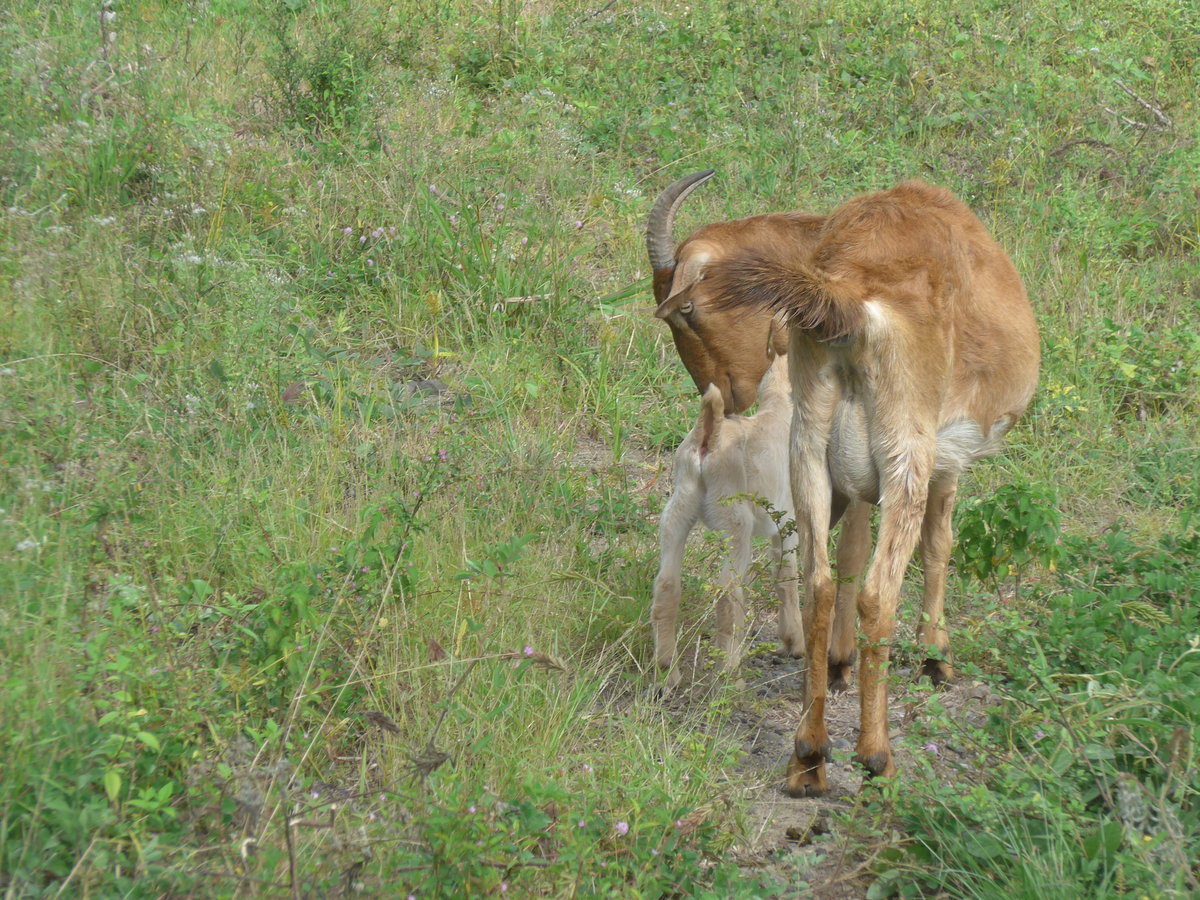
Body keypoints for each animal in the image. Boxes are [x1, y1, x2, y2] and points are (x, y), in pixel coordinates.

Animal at [651, 355, 802, 686]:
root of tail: (710, 435)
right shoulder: (789, 524)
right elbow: (787, 576)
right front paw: (794, 642)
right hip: (735, 525)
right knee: (727, 590)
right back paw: (729, 674)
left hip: (677, 511)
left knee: (667, 584)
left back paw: (668, 671)